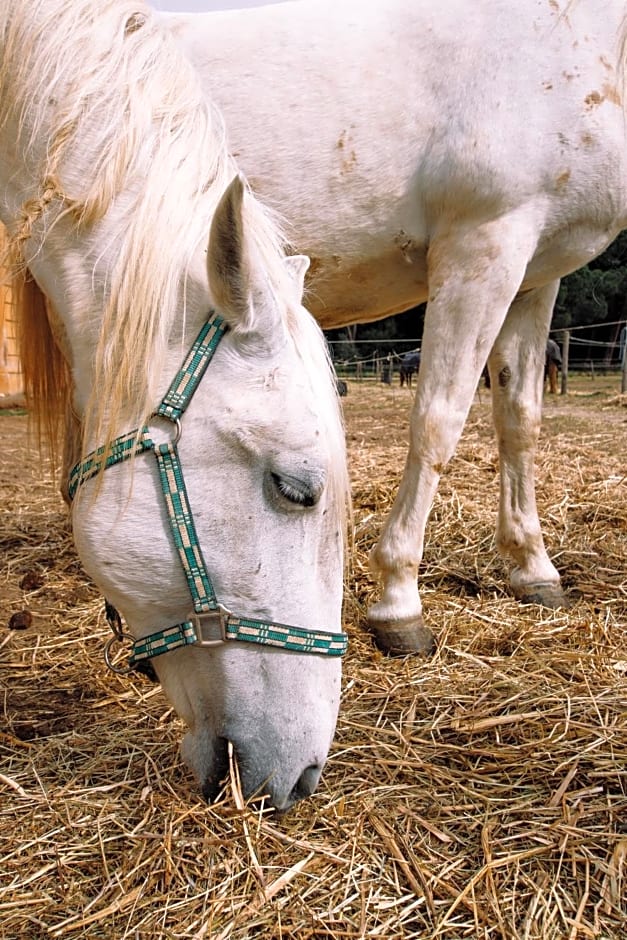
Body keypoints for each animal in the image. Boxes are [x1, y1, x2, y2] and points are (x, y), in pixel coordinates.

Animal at [163, 1, 627, 652]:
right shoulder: (483, 247)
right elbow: (438, 420)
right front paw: (398, 600)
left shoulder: (534, 278)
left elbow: (520, 419)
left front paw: (533, 567)